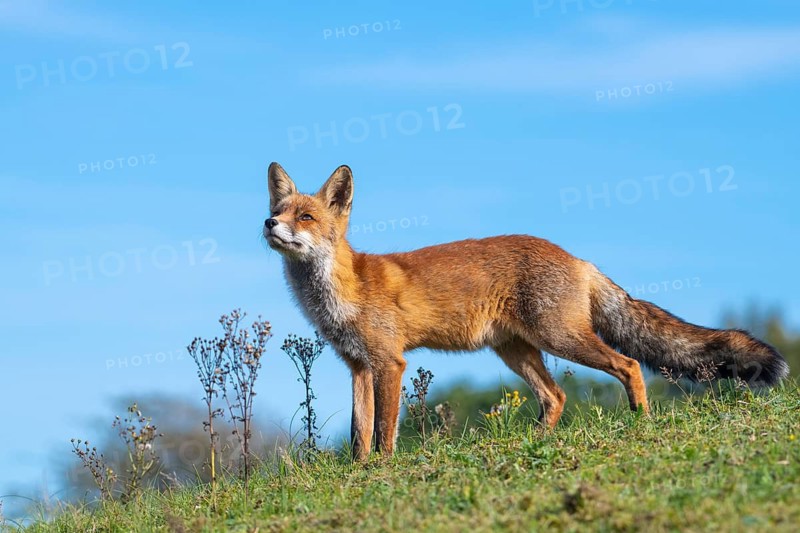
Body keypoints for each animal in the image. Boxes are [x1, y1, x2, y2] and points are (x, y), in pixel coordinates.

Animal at [263, 162, 789, 461]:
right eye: (278, 210)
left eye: (305, 217)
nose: (269, 223)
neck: (340, 293)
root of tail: (578, 259)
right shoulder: (357, 365)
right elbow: (359, 434)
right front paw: (360, 472)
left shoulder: (389, 362)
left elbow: (383, 432)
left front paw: (384, 471)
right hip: (516, 352)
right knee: (556, 396)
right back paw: (536, 443)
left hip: (561, 340)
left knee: (629, 364)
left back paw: (640, 420)